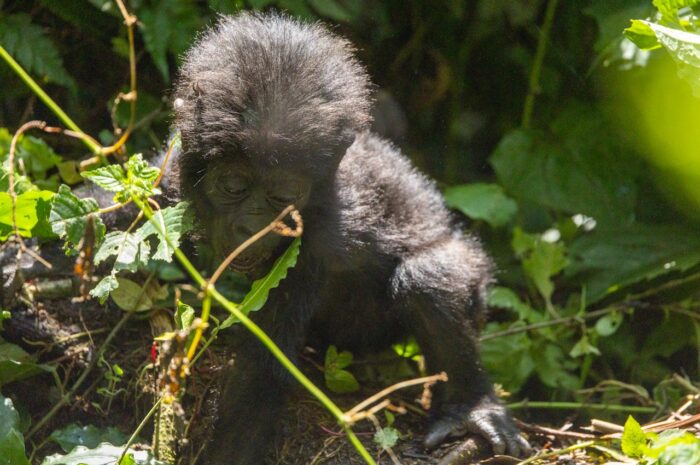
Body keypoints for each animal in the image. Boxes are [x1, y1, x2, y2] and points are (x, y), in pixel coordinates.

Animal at [169, 12, 530, 464]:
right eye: (234, 186)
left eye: (283, 199)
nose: (252, 229)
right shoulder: (172, 166)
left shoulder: (314, 244)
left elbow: (261, 372)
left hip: (473, 272)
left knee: (427, 278)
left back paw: (472, 406)